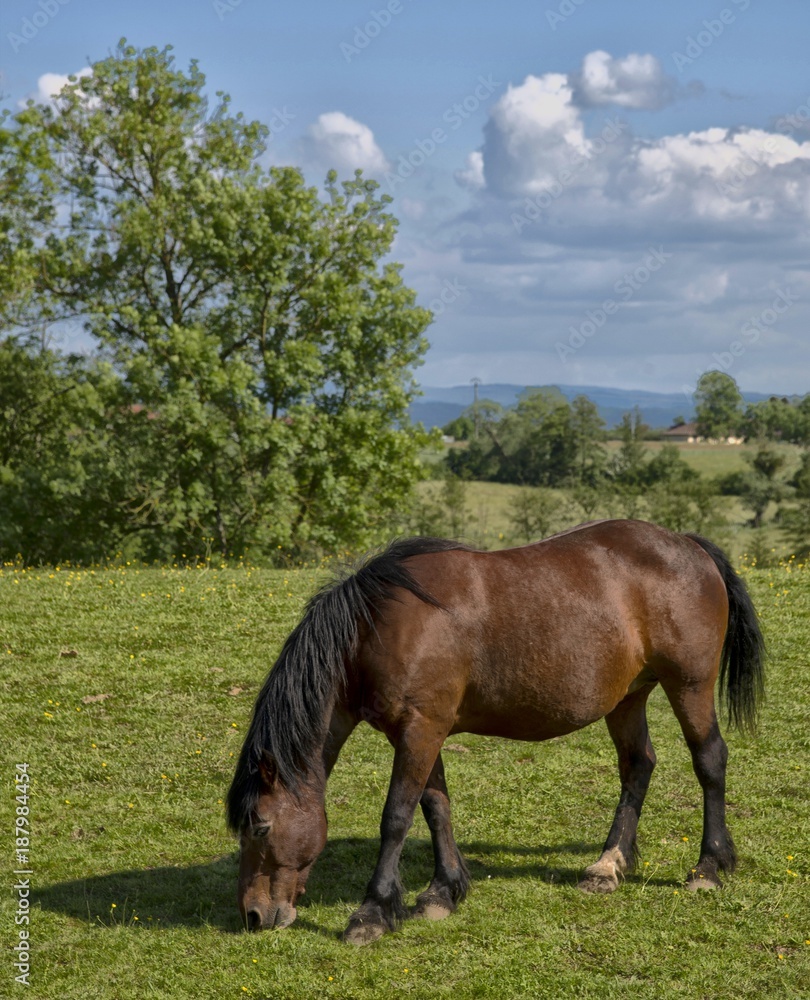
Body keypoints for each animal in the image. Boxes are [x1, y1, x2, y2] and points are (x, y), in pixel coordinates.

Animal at [224, 524, 760, 944]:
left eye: (261, 826)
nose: (253, 915)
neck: (378, 627)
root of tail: (688, 545)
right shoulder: (421, 731)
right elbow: (435, 807)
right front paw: (443, 891)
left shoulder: (420, 728)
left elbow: (396, 816)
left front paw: (372, 913)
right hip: (627, 697)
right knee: (637, 765)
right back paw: (608, 865)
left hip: (689, 685)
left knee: (709, 759)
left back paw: (709, 867)